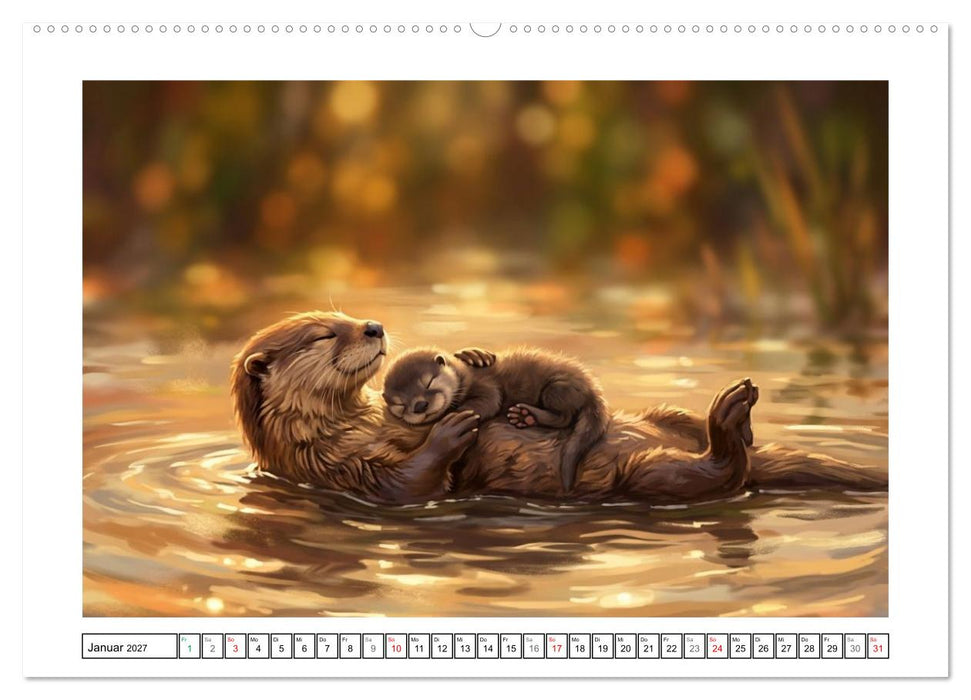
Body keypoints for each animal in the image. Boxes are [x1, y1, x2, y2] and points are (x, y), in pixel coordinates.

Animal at [382, 347, 609, 493]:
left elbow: (490, 400)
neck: (466, 376)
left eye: (429, 382)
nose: (420, 405)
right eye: (401, 404)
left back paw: (526, 416)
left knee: (565, 417)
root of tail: (592, 388)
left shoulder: (485, 384)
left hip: (558, 388)